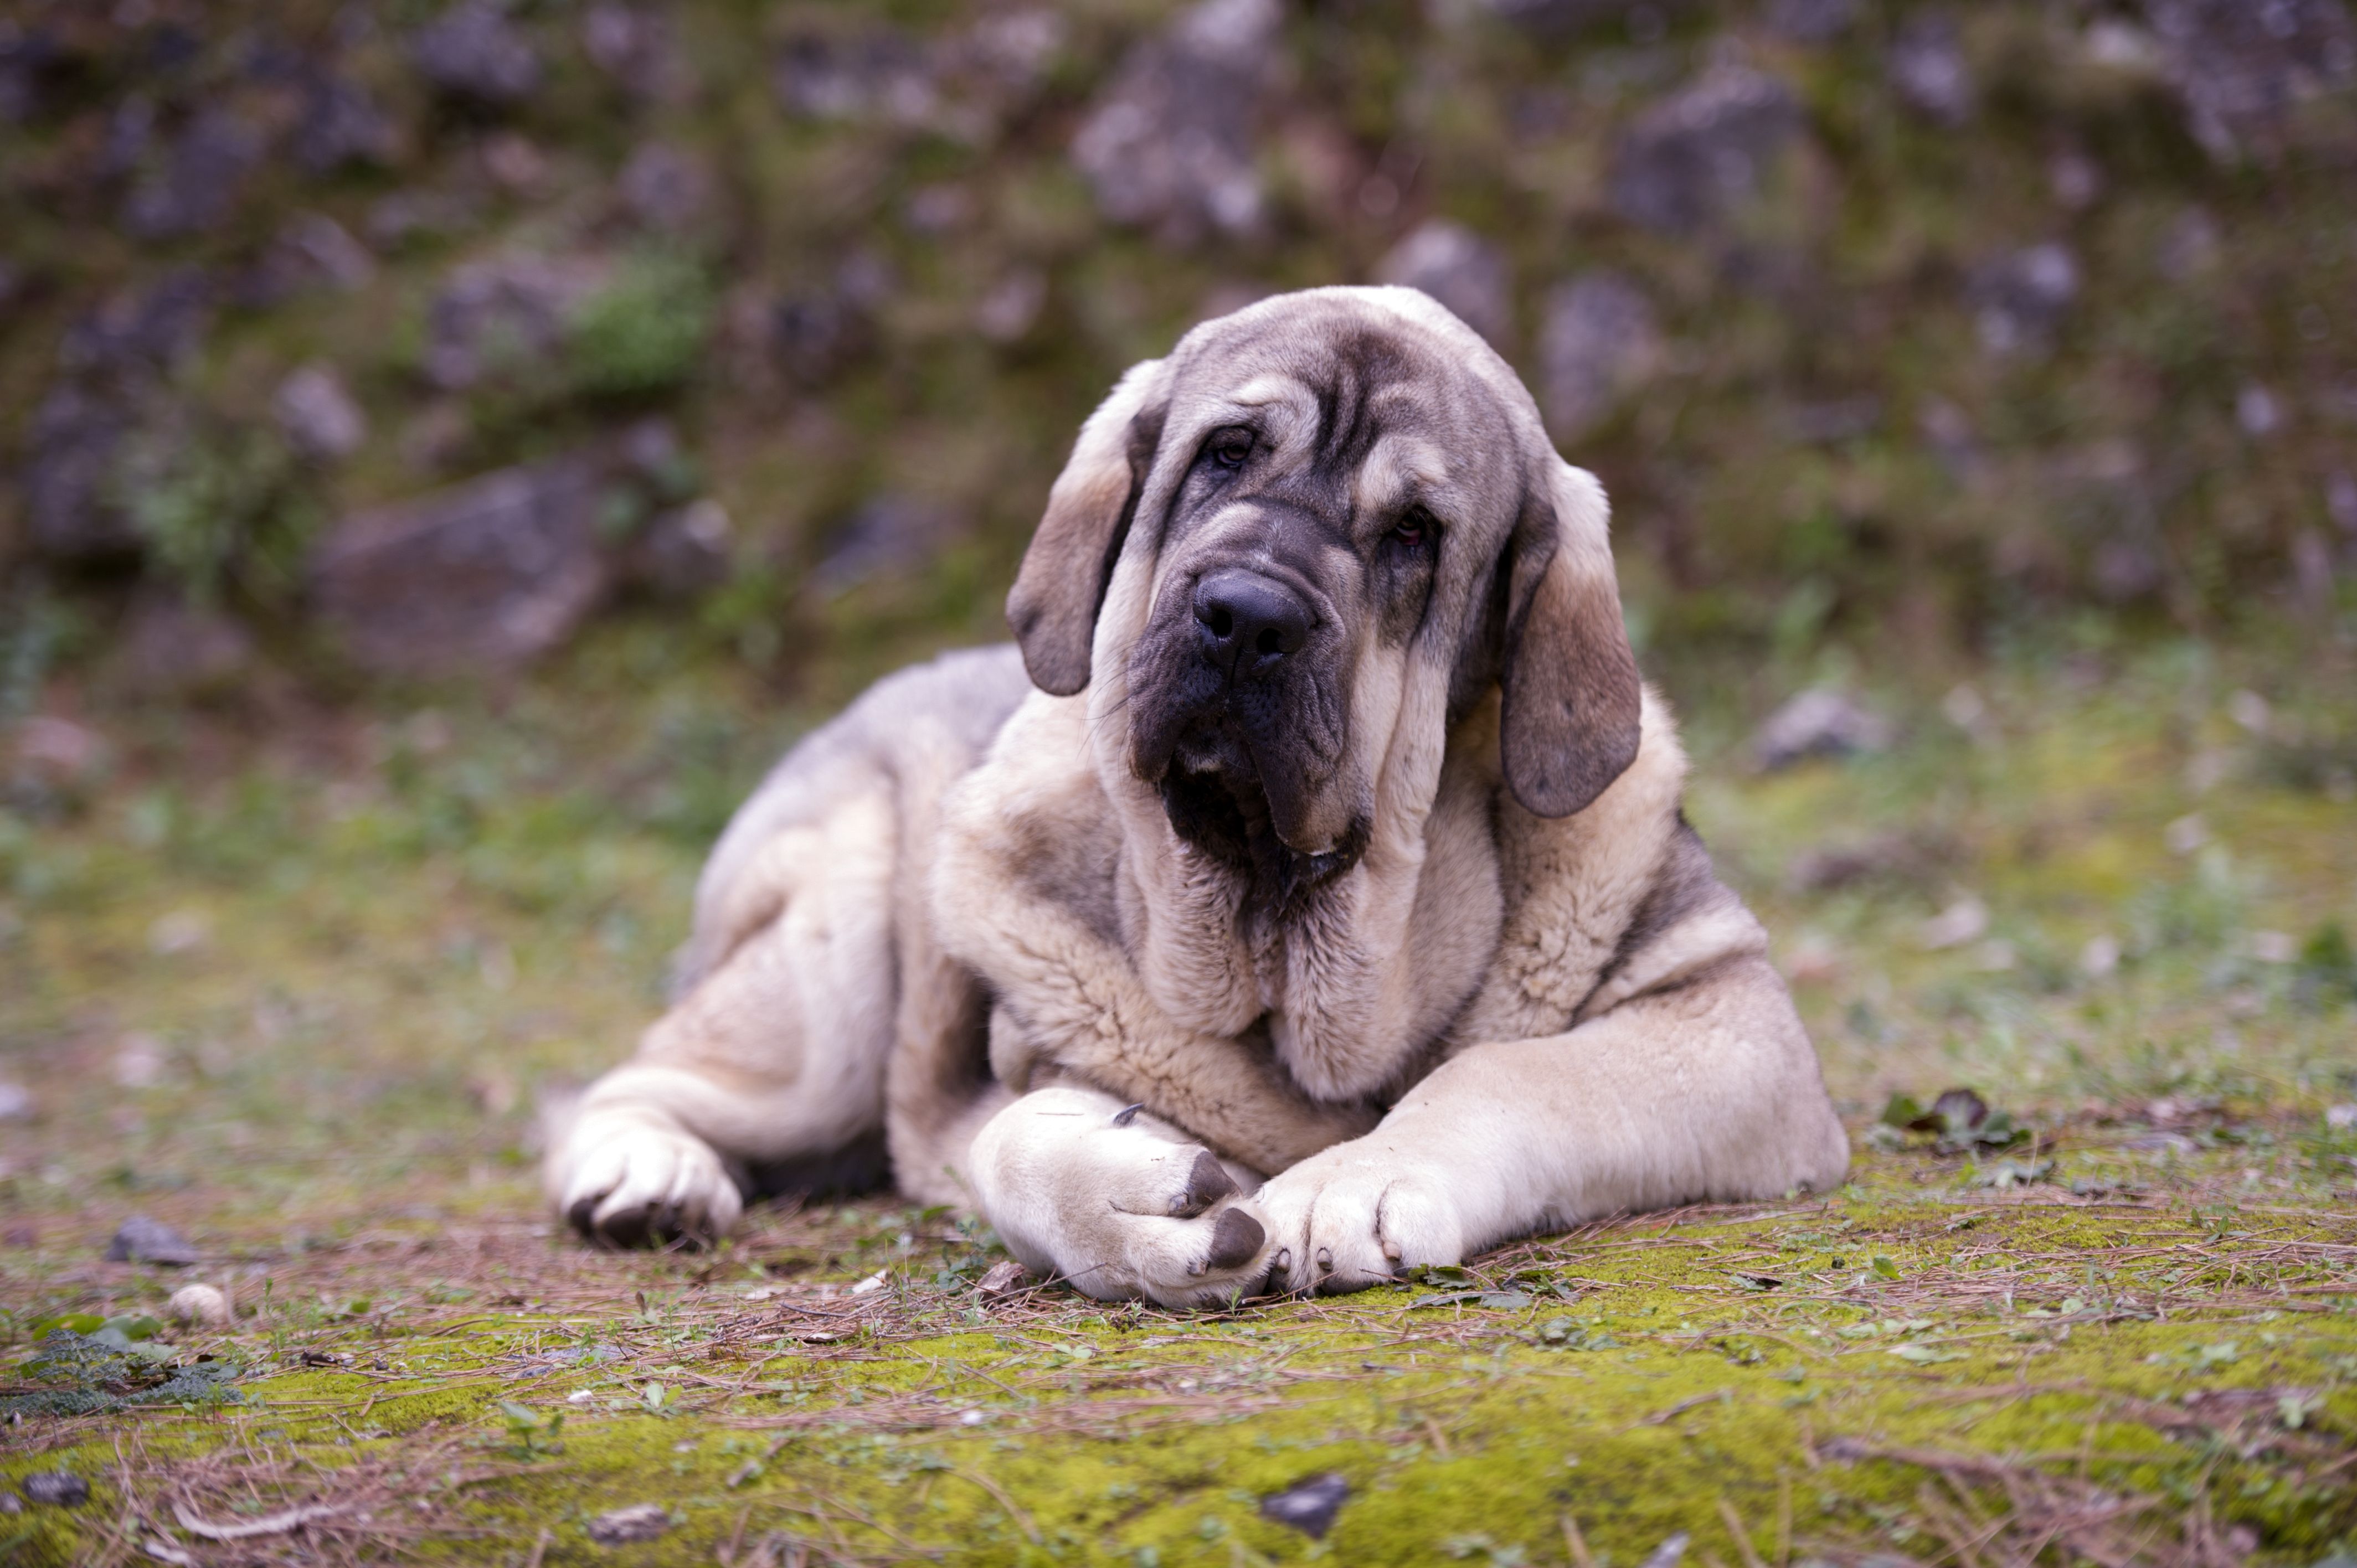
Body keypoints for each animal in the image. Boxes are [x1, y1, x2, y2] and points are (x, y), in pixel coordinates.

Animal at [542, 287, 1847, 1301]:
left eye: (1414, 534)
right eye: (1225, 453)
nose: (1248, 616)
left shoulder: (1730, 1017)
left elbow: (1511, 1069)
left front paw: (1356, 1180)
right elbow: (1007, 1137)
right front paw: (1136, 1204)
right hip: (838, 948)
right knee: (645, 1078)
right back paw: (648, 1175)